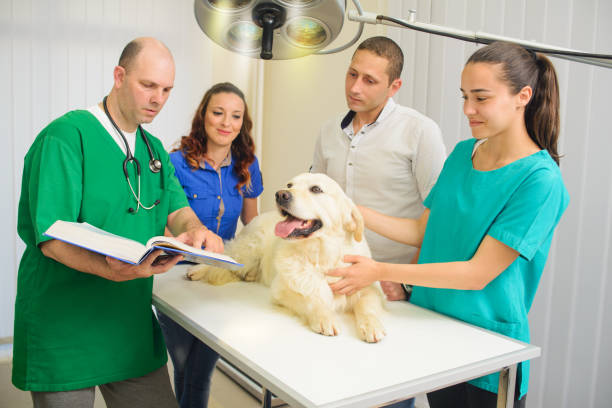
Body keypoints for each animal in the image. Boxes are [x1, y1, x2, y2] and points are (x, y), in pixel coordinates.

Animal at [188, 173, 388, 344]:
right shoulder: (281, 291)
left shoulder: (367, 286)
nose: (280, 194)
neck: (321, 256)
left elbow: (367, 305)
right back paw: (197, 269)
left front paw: (372, 325)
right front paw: (325, 317)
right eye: (290, 185)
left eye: (316, 189)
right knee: (226, 257)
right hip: (250, 247)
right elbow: (312, 300)